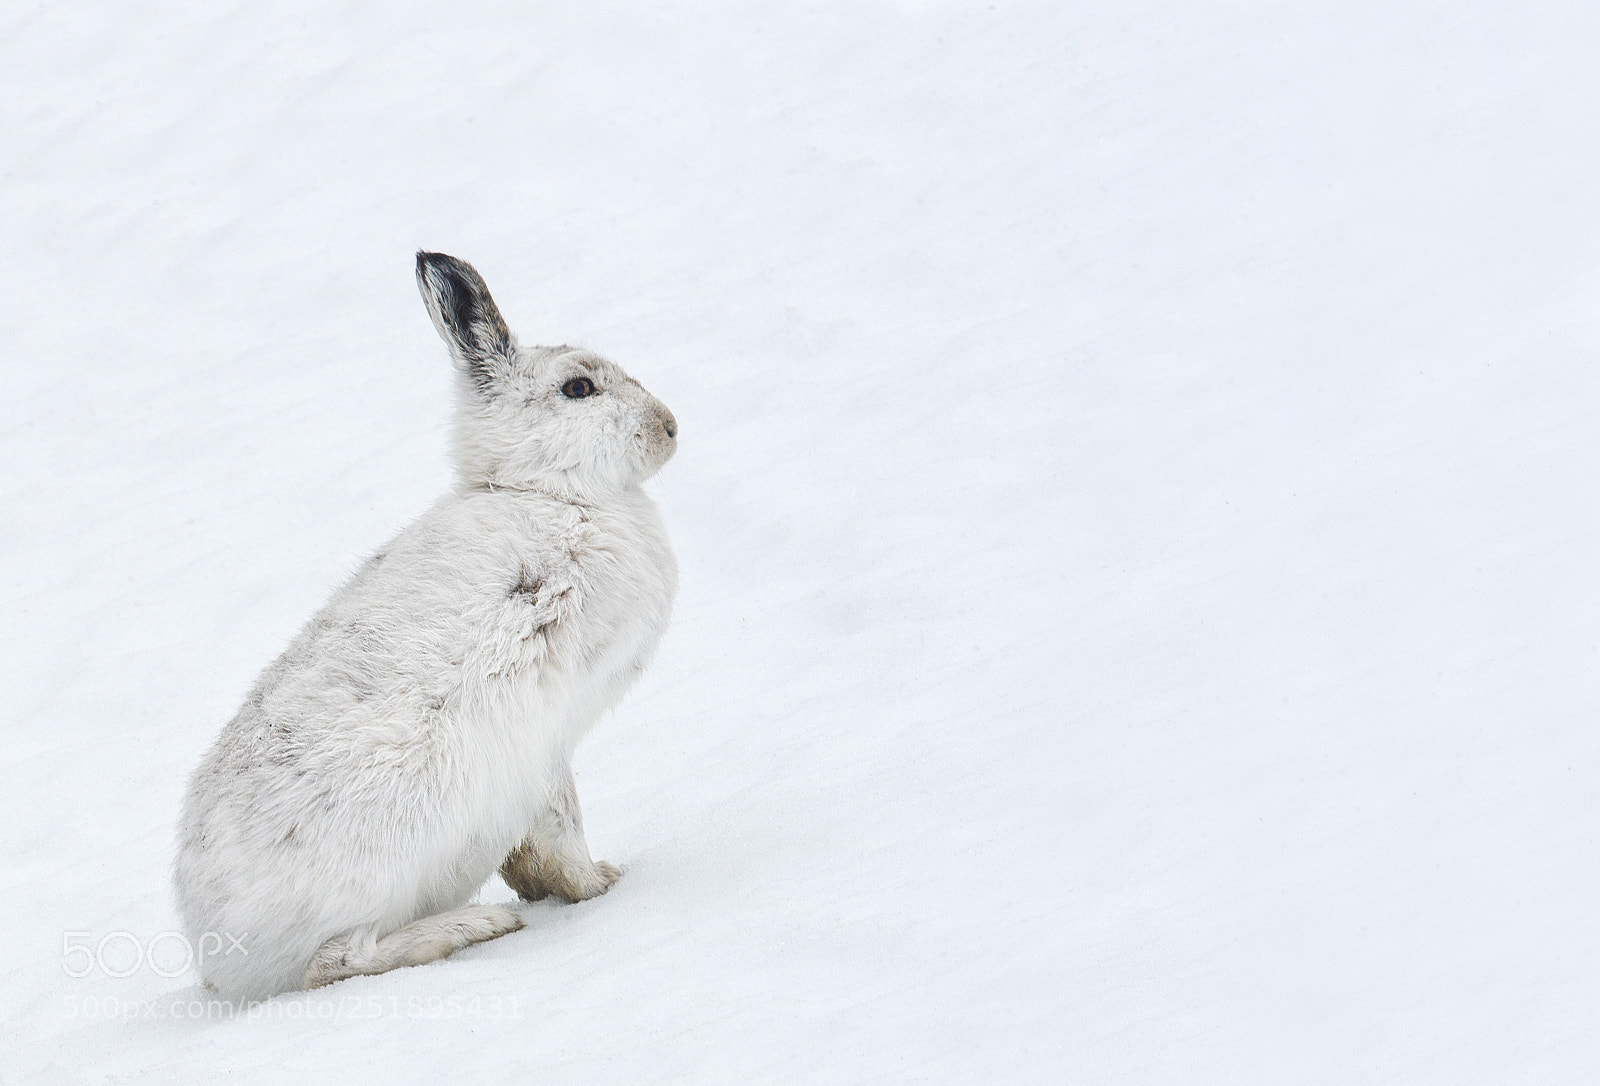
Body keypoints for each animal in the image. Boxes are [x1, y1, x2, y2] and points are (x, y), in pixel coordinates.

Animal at [173, 252, 678, 1001]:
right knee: (333, 963)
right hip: (377, 863)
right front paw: (600, 885)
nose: (669, 427)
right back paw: (476, 926)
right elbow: (562, 823)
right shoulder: (546, 736)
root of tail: (221, 962)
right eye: (579, 388)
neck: (550, 494)